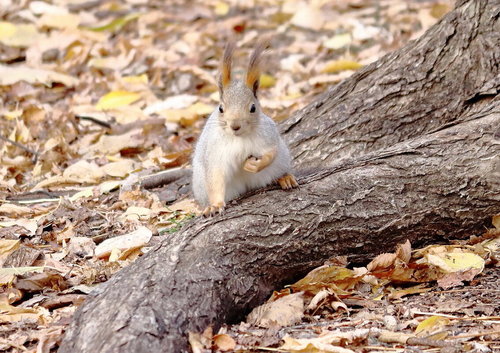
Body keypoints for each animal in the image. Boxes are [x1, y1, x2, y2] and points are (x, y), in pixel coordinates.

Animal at [192, 41, 298, 214]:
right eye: (221, 108)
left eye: (253, 108)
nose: (235, 126)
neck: (239, 138)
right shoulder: (215, 153)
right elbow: (215, 178)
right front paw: (215, 205)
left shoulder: (268, 136)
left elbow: (271, 153)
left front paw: (255, 164)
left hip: (282, 160)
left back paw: (285, 178)